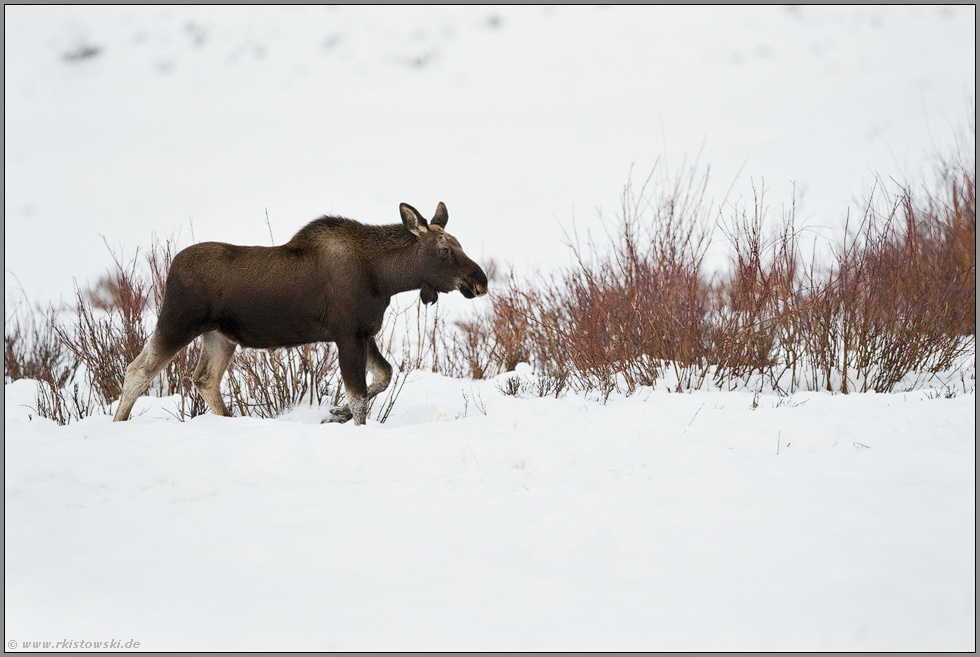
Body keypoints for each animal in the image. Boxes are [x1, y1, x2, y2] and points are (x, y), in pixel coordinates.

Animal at [113, 201, 488, 426]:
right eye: (444, 250)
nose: (480, 281)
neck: (385, 278)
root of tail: (171, 269)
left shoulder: (364, 333)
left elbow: (383, 376)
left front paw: (335, 414)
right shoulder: (347, 334)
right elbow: (359, 397)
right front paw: (347, 418)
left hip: (219, 335)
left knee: (204, 379)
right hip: (178, 321)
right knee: (138, 370)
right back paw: (119, 423)